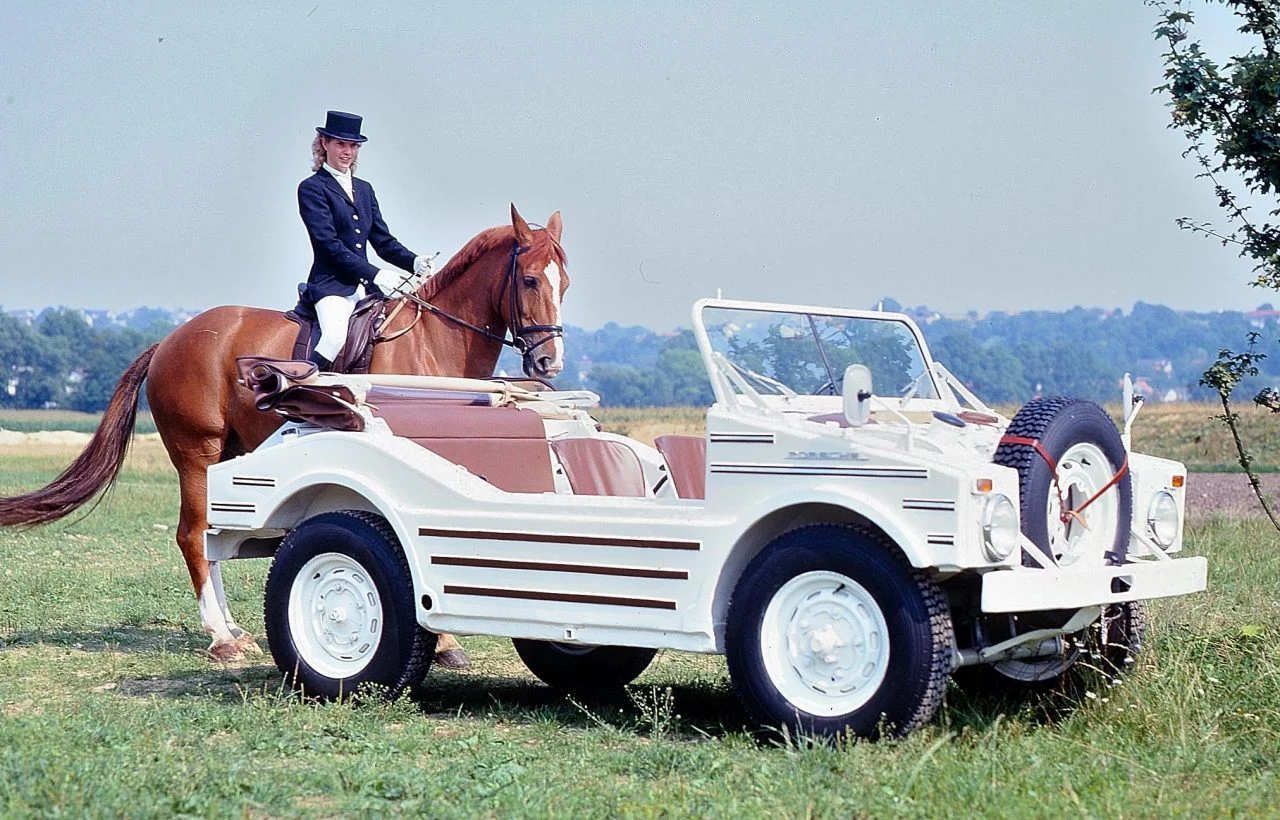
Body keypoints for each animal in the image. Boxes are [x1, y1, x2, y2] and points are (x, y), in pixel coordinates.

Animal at [0, 204, 570, 660]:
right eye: (530, 281)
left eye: (564, 282)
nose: (549, 362)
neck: (433, 342)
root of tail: (171, 339)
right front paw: (446, 639)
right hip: (197, 452)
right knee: (192, 535)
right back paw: (222, 639)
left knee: (210, 537)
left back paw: (233, 630)